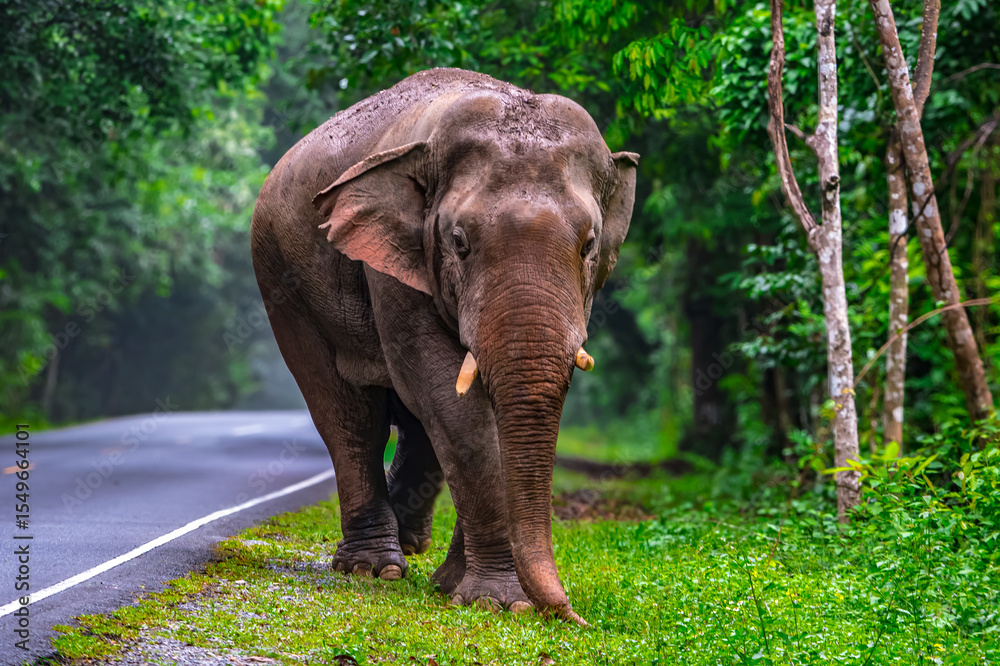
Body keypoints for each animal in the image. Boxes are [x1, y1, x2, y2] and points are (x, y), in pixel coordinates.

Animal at [250, 68, 637, 623]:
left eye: (589, 245)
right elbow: (450, 401)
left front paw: (461, 589)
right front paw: (501, 602)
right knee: (350, 416)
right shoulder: (392, 266)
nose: (573, 617)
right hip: (280, 279)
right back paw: (374, 569)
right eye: (458, 241)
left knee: (414, 426)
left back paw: (411, 547)